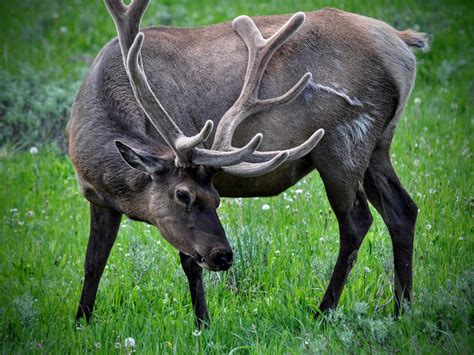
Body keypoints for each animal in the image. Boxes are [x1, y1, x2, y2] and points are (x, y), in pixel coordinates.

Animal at [68, 0, 428, 328]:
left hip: (344, 143)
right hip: (378, 144)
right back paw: (402, 310)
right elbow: (92, 262)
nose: (224, 255)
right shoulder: (98, 200)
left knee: (356, 221)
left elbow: (190, 263)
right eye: (183, 195)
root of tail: (402, 44)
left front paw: (203, 324)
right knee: (403, 209)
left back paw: (324, 312)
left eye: (215, 198)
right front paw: (81, 321)